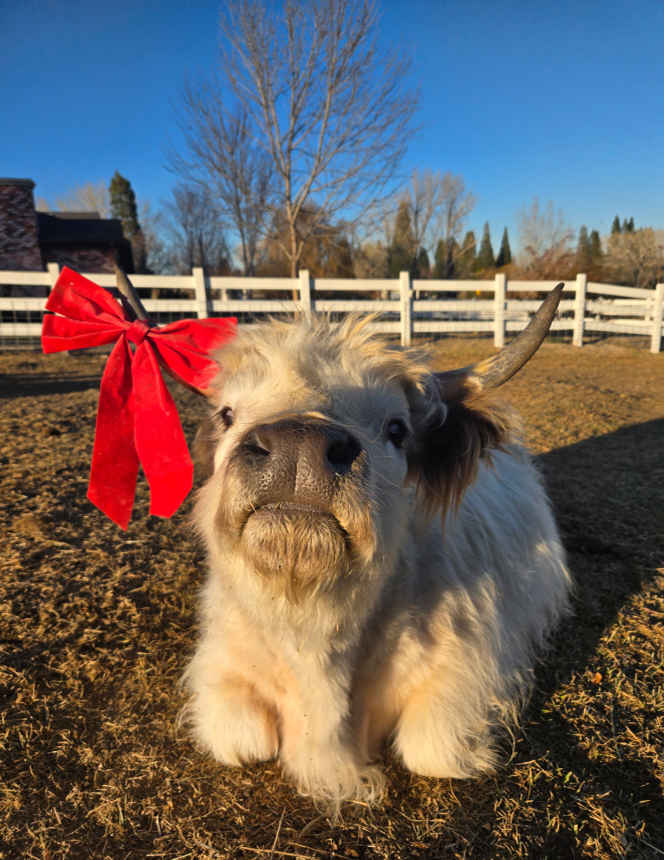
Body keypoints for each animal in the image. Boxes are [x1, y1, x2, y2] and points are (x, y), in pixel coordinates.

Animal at [181, 286, 571, 807]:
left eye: (397, 428)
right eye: (227, 414)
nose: (297, 447)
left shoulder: (465, 674)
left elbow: (430, 748)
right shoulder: (222, 666)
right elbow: (242, 739)